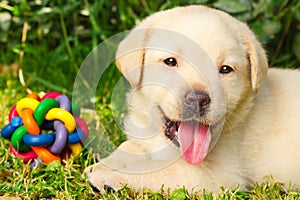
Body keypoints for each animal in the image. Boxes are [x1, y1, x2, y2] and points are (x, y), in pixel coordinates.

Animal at [84, 4, 300, 192]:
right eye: (170, 61)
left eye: (225, 69)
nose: (198, 99)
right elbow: (129, 146)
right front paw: (106, 163)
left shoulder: (216, 176)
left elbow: (159, 171)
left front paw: (112, 175)